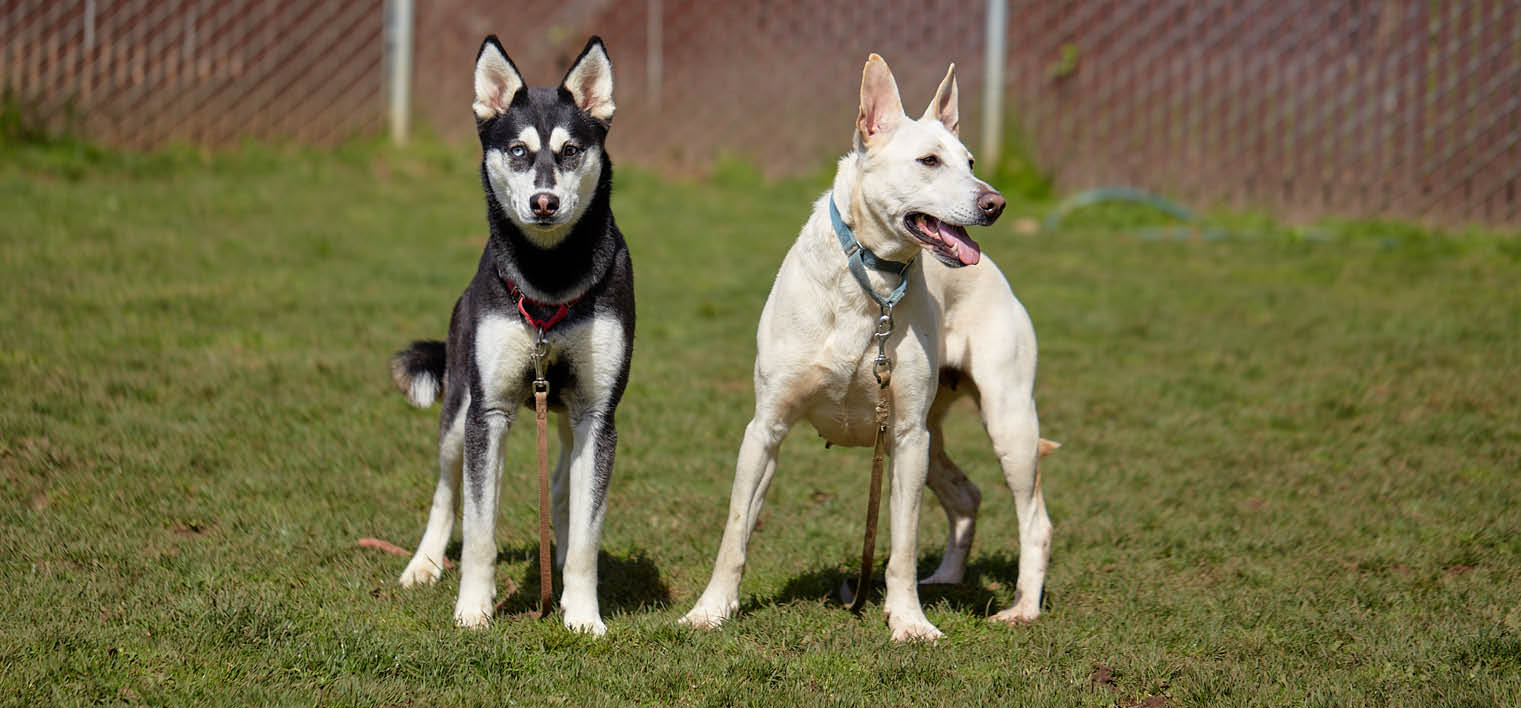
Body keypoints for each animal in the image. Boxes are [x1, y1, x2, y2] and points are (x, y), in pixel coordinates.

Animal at [392, 35, 635, 633]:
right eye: (519, 152)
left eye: (571, 150)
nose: (544, 202)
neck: (548, 280)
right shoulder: (489, 413)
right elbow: (480, 529)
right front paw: (473, 611)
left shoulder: (599, 417)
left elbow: (587, 535)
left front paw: (583, 615)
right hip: (458, 410)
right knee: (446, 491)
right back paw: (424, 564)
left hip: (567, 422)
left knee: (563, 490)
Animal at [684, 55, 1052, 639]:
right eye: (929, 161)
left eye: (970, 161)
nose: (995, 203)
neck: (872, 281)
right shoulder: (766, 427)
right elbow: (735, 532)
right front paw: (710, 610)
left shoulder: (904, 437)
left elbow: (901, 544)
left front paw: (909, 622)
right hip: (936, 432)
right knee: (965, 495)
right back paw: (946, 578)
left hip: (1006, 420)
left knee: (1034, 519)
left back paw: (1022, 608)